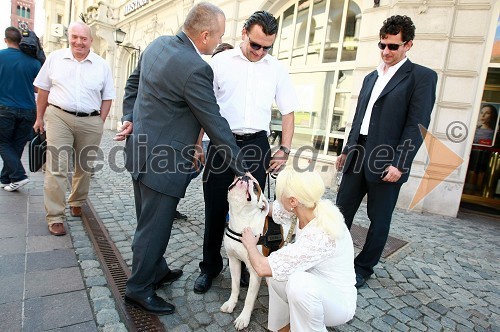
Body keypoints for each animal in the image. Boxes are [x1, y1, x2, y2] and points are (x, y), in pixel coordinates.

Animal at [222, 175, 270, 330]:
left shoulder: (255, 272)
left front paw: (243, 318)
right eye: (238, 176)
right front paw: (231, 303)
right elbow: (235, 286)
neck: (241, 220)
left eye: (255, 186)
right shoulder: (233, 261)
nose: (245, 175)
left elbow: (249, 298)